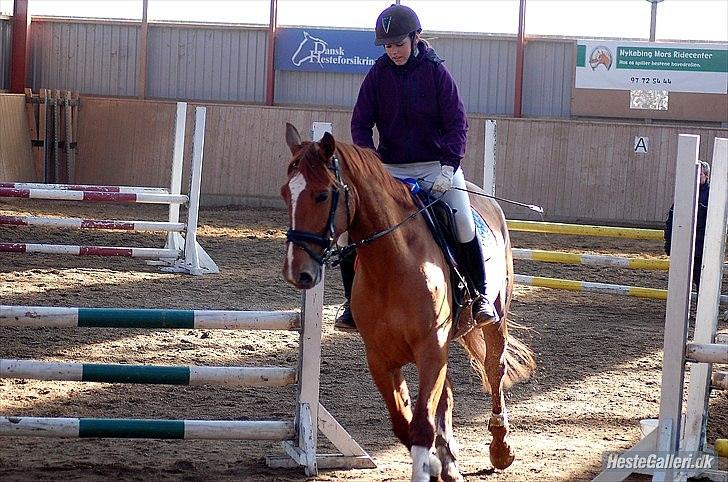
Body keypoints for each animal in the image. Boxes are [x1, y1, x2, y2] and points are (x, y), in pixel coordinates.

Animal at [278, 124, 536, 482]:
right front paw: (438, 462)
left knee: (493, 370)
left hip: (495, 321)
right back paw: (449, 463)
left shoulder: (430, 347)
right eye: (285, 194)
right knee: (447, 395)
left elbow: (422, 425)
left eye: (322, 195)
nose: (296, 271)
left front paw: (434, 463)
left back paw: (501, 449)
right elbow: (405, 424)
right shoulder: (381, 357)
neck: (393, 264)